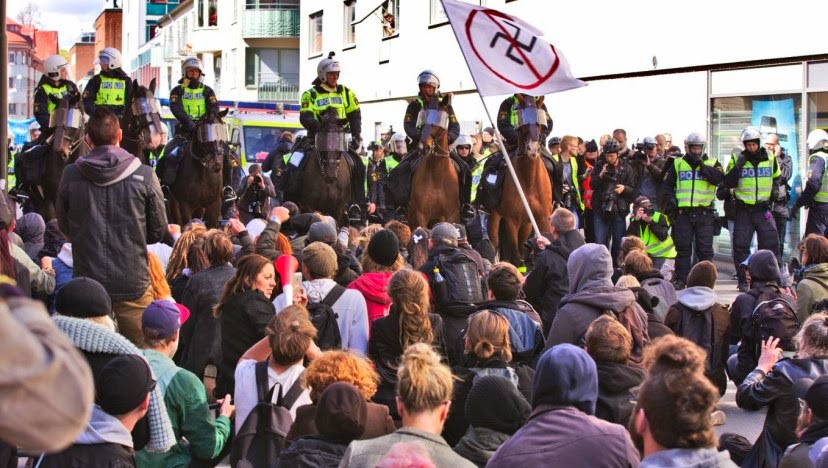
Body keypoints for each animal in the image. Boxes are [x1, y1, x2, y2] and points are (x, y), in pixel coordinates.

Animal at [408, 93, 460, 230]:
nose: (423, 147)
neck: (437, 175)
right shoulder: (421, 215)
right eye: (423, 118)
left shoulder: (451, 215)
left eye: (439, 119)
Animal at [488, 95, 552, 266]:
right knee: (493, 242)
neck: (528, 182)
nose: (533, 150)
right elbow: (517, 257)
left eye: (540, 125)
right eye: (523, 126)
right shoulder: (512, 220)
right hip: (495, 215)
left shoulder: (539, 218)